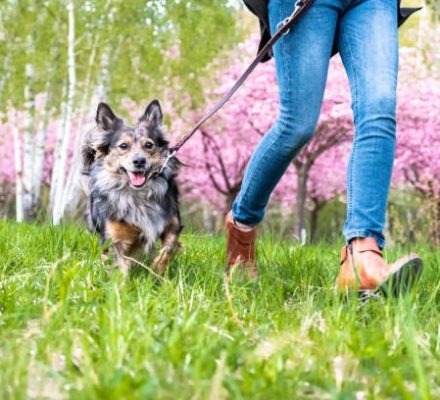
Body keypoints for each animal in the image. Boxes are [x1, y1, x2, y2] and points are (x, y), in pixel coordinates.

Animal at [81, 101, 182, 276]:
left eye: (149, 145)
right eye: (123, 146)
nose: (139, 161)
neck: (138, 194)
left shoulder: (172, 222)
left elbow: (168, 248)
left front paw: (157, 269)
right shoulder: (114, 237)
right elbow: (120, 264)